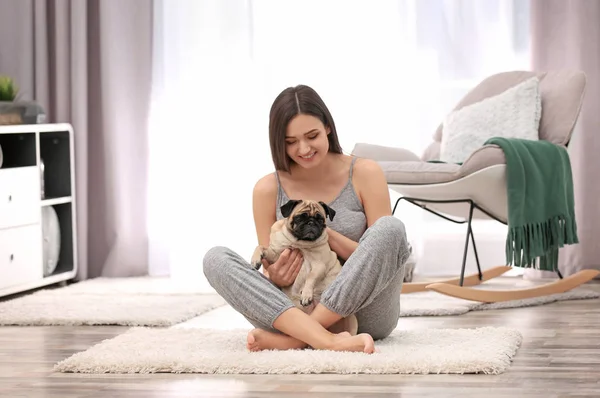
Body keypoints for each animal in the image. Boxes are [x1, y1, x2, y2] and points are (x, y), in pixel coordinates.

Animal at [251, 199, 358, 336]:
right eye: (300, 217)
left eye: (320, 219)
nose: (311, 222)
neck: (300, 243)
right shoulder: (275, 256)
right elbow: (260, 247)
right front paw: (255, 259)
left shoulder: (319, 265)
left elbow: (310, 277)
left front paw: (306, 295)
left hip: (352, 321)